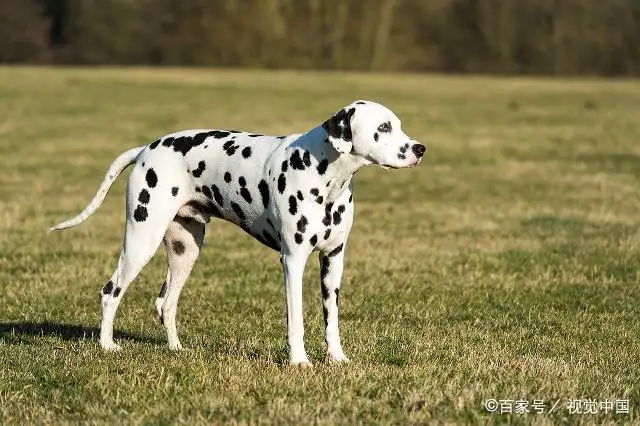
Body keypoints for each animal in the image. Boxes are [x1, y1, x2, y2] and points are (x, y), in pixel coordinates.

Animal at [51, 100, 424, 366]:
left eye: (399, 125)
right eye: (383, 127)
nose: (420, 148)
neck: (323, 172)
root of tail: (146, 149)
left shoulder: (333, 260)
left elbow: (331, 320)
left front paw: (337, 358)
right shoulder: (293, 261)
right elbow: (296, 320)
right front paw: (299, 362)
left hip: (185, 251)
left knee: (165, 303)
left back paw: (176, 349)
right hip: (141, 242)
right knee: (110, 292)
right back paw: (107, 345)